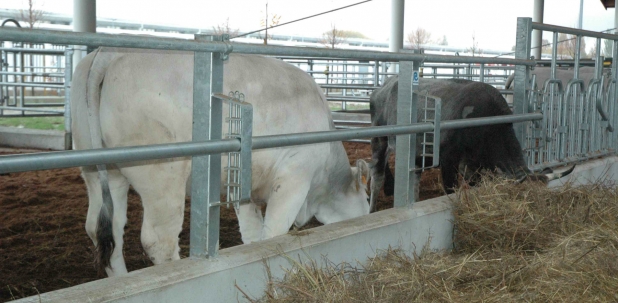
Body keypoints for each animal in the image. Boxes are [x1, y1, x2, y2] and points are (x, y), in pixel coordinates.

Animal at [72, 48, 370, 278]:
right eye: (368, 201)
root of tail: (110, 52)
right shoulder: (294, 176)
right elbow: (273, 233)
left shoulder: (245, 184)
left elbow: (251, 234)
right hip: (163, 175)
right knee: (159, 240)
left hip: (101, 171)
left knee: (104, 230)